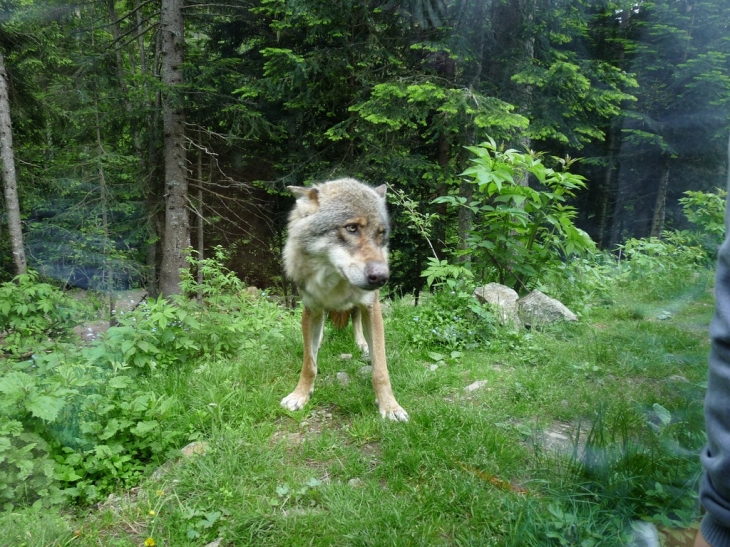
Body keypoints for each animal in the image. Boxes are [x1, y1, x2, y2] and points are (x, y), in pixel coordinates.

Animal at [280, 178, 406, 422]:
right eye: (352, 228)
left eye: (380, 233)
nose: (382, 277)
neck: (334, 283)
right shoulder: (311, 309)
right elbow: (309, 364)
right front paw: (300, 395)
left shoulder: (372, 307)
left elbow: (380, 369)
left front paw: (390, 406)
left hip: (363, 305)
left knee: (356, 320)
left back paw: (362, 344)